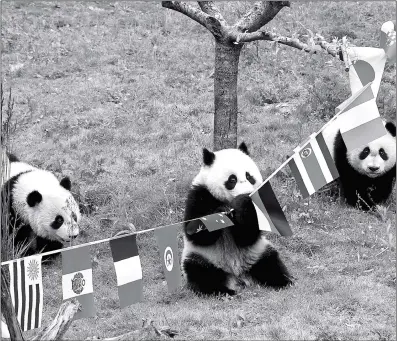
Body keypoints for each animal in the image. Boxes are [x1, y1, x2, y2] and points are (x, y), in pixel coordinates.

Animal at [181, 141, 292, 294]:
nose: (247, 193)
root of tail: (238, 277)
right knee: (201, 273)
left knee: (271, 264)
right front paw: (221, 212)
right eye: (232, 179)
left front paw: (243, 204)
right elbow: (195, 232)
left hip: (258, 253)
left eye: (249, 176)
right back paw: (223, 291)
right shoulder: (199, 195)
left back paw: (283, 282)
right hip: (203, 257)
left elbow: (247, 235)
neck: (228, 201)